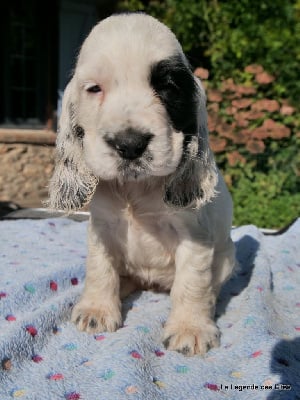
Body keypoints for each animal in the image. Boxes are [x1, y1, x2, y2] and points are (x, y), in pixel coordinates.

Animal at [48, 12, 236, 356]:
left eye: (168, 87)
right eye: (94, 89)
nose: (130, 144)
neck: (136, 188)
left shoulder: (196, 235)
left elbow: (192, 282)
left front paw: (190, 328)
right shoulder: (102, 226)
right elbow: (100, 269)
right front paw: (96, 310)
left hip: (228, 256)